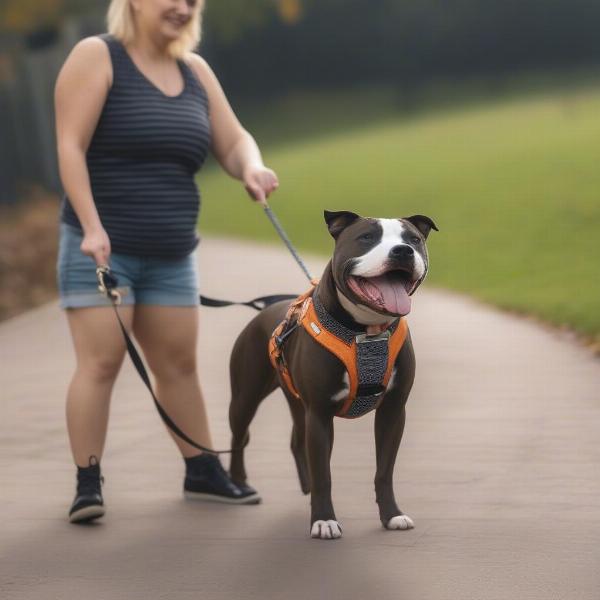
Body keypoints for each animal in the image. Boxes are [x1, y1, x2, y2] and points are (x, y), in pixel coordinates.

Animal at [225, 211, 436, 540]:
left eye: (413, 239)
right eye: (367, 237)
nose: (402, 251)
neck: (366, 332)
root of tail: (266, 308)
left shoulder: (393, 410)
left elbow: (384, 471)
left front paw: (391, 515)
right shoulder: (321, 413)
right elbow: (324, 474)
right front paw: (324, 520)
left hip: (296, 401)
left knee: (297, 440)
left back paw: (305, 486)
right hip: (245, 397)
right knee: (239, 436)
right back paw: (239, 483)